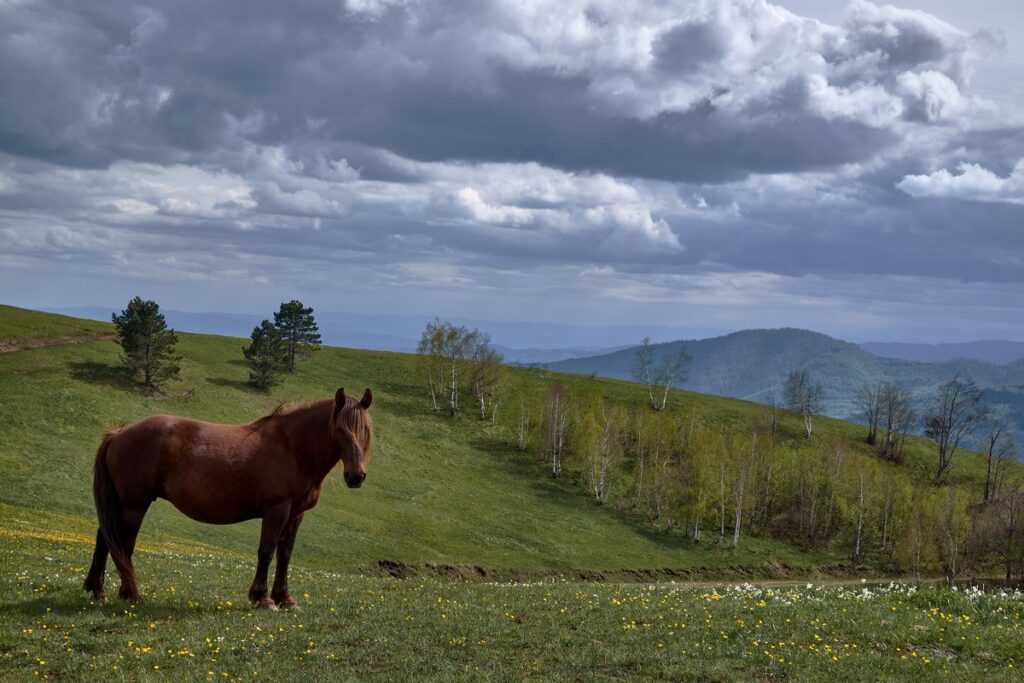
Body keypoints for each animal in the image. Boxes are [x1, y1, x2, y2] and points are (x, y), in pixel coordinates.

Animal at [83, 387, 372, 610]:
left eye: (366, 430)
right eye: (340, 429)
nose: (355, 476)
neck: (293, 447)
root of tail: (118, 434)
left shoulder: (296, 513)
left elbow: (285, 555)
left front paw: (286, 599)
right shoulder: (276, 509)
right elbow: (266, 551)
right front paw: (263, 599)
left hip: (121, 504)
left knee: (105, 538)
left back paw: (98, 591)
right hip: (134, 505)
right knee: (123, 545)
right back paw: (131, 595)